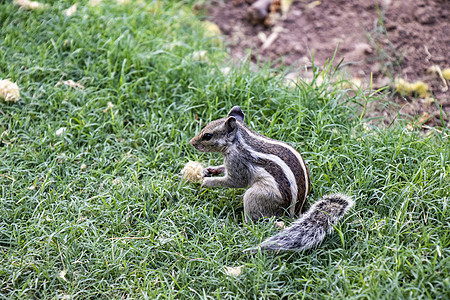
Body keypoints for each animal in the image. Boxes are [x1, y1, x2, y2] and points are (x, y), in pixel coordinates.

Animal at [188, 105, 354, 251]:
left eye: (207, 136)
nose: (191, 142)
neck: (238, 140)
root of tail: (295, 214)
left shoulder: (237, 163)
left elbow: (235, 181)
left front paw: (207, 182)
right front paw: (209, 170)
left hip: (256, 196)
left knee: (253, 220)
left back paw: (239, 227)